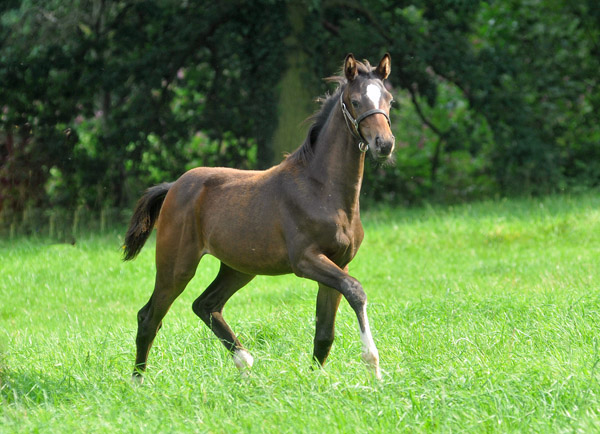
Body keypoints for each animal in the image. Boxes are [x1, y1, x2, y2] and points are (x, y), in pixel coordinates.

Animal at [123, 53, 394, 380]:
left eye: (389, 100)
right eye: (355, 101)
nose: (384, 144)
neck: (322, 190)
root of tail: (174, 186)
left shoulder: (338, 262)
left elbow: (324, 333)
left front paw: (316, 381)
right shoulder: (305, 260)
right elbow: (356, 290)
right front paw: (373, 366)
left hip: (238, 267)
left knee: (205, 305)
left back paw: (245, 362)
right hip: (176, 266)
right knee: (149, 317)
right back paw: (138, 382)